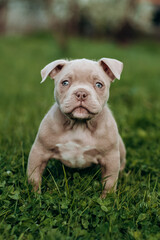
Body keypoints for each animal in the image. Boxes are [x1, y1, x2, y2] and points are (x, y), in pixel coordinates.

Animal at [27, 57, 126, 197]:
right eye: (65, 82)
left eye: (99, 85)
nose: (81, 93)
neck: (80, 124)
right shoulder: (39, 151)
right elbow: (34, 177)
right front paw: (35, 195)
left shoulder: (110, 158)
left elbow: (110, 183)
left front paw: (106, 198)